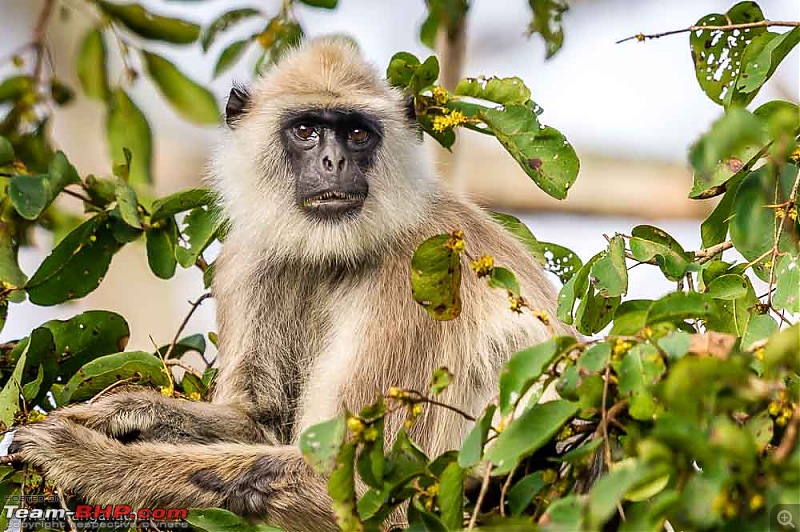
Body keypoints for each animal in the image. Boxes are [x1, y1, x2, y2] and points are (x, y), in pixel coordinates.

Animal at [10, 38, 576, 532]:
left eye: (356, 135)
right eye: (306, 130)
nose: (334, 161)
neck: (335, 253)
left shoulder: (423, 276)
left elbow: (361, 488)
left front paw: (84, 457)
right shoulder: (249, 260)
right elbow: (259, 422)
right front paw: (120, 411)